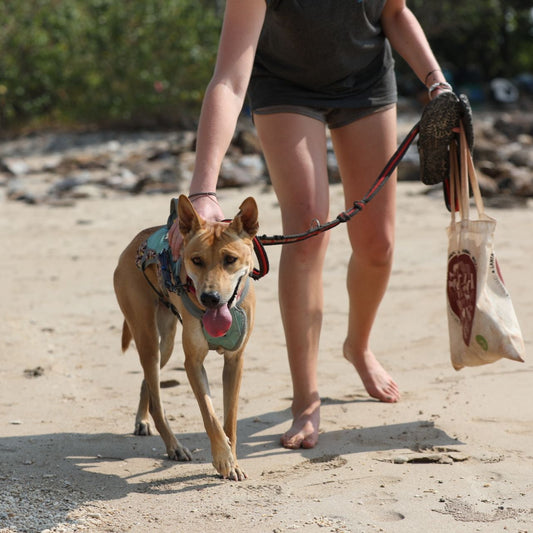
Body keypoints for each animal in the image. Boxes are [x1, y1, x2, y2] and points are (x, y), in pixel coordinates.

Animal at [113, 194, 258, 478]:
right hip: (147, 338)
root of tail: (134, 242)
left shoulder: (235, 362)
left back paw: (142, 419)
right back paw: (173, 445)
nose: (210, 298)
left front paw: (233, 459)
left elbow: (230, 419)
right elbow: (210, 415)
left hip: (166, 343)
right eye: (196, 260)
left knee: (148, 382)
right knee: (157, 402)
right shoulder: (193, 363)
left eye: (230, 259)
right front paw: (223, 458)